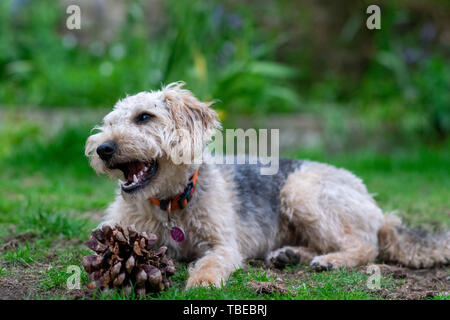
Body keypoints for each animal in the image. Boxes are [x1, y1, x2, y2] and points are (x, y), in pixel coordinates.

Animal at [85, 82, 450, 288]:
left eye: (144, 117)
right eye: (109, 123)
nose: (102, 149)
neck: (170, 203)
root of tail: (375, 207)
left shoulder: (223, 245)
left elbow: (210, 263)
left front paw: (202, 282)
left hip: (300, 192)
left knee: (366, 246)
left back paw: (330, 260)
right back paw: (290, 255)